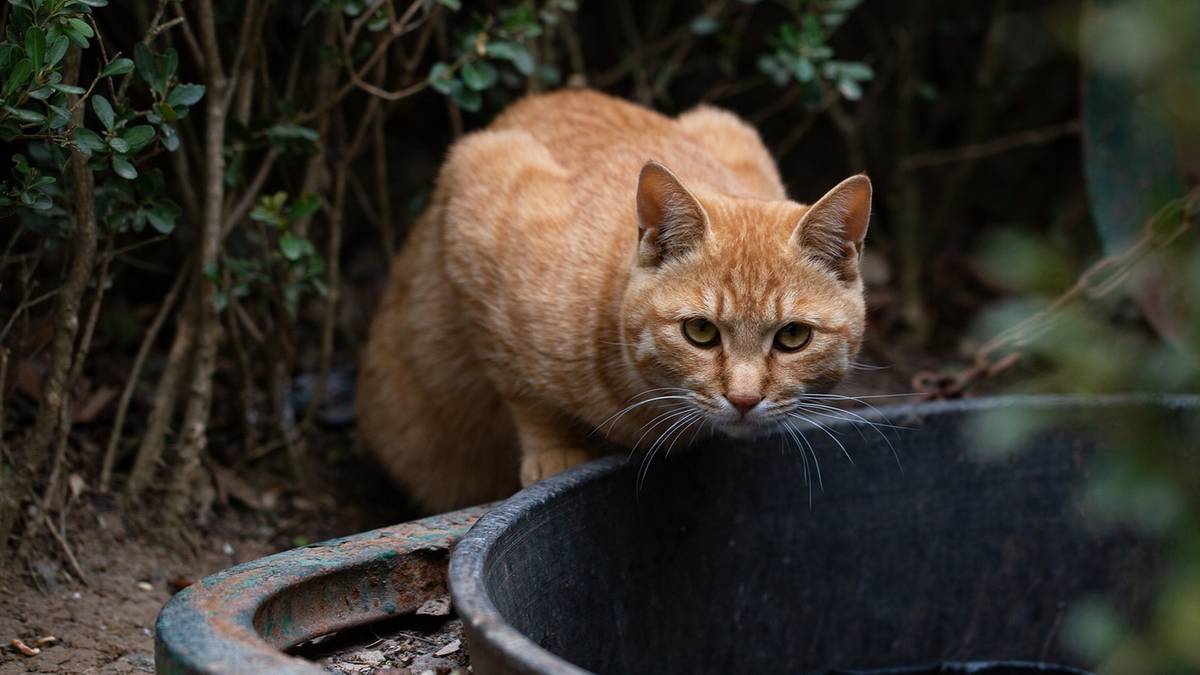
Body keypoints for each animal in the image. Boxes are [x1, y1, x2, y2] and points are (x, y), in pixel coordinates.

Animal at [355, 90, 873, 509]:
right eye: (700, 331)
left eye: (793, 337)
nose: (744, 400)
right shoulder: (479, 188)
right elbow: (522, 390)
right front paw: (554, 454)